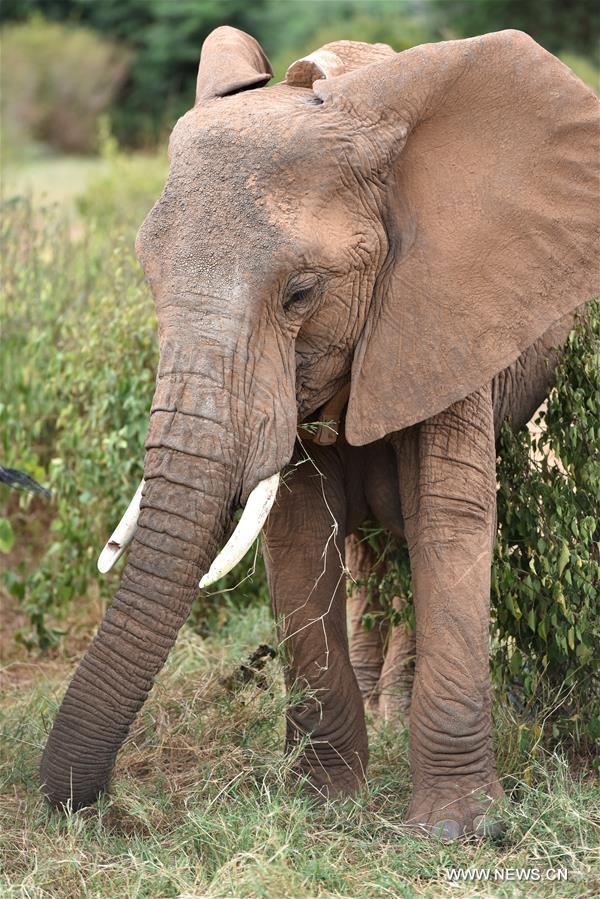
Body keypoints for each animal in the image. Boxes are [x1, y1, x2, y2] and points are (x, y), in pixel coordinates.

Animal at [39, 29, 596, 844]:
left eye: (301, 292)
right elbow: (300, 533)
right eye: (147, 277)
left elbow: (449, 521)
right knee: (368, 551)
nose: (93, 807)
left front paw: (458, 831)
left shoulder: (449, 307)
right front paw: (324, 804)